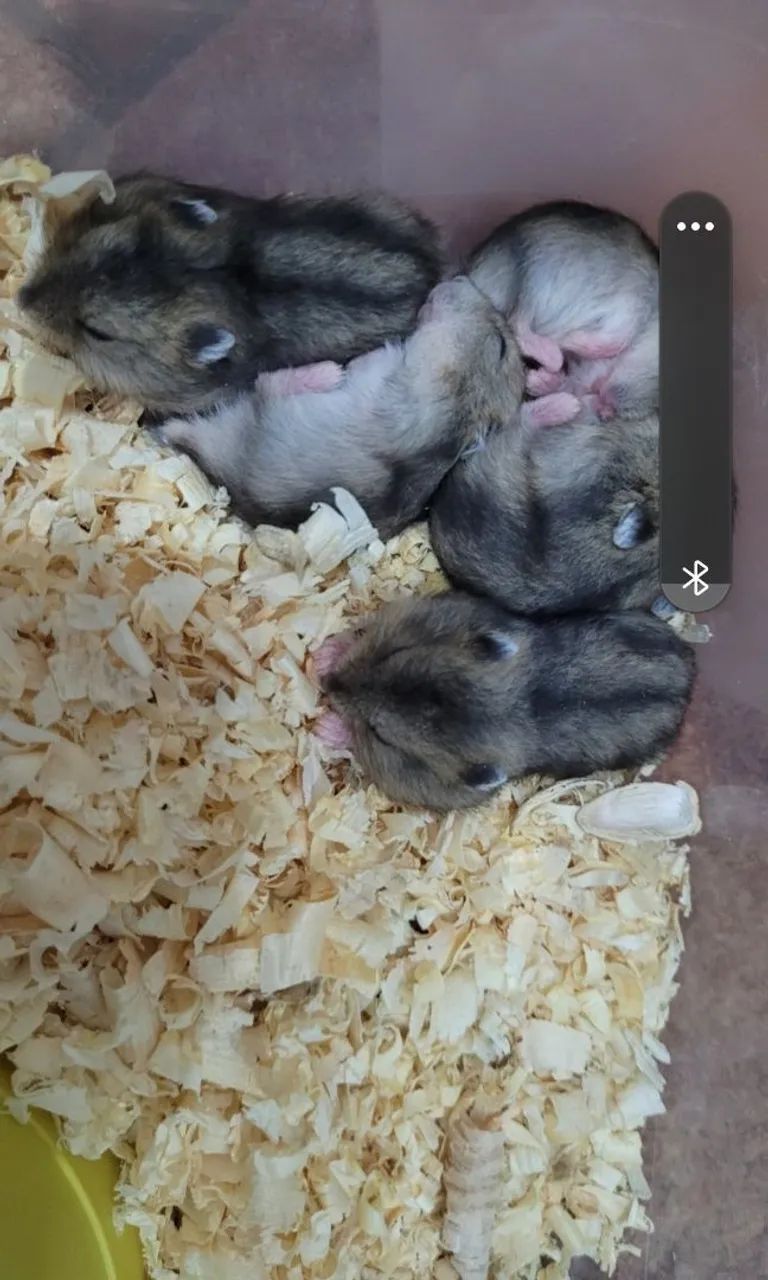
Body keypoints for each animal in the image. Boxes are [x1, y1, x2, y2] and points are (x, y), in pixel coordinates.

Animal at [152, 277, 525, 539]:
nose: (460, 278)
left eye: (501, 345)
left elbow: (366, 364)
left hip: (264, 415)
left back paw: (328, 372)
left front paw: (345, 368)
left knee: (265, 387)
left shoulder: (389, 372)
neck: (459, 402)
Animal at [314, 592, 695, 811]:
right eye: (394, 653)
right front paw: (324, 654)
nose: (327, 684)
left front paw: (324, 726)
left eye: (380, 735)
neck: (518, 706)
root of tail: (689, 675)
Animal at [468, 201, 658, 425]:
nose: (606, 408)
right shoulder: (631, 306)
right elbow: (614, 341)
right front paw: (569, 342)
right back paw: (555, 349)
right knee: (517, 323)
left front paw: (539, 382)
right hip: (532, 280)